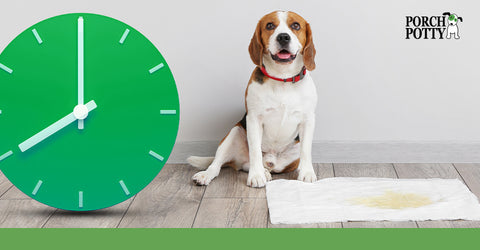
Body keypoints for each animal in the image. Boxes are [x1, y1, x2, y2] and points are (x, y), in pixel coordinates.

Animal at [188, 11, 318, 188]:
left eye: (296, 25)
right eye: (270, 25)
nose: (283, 37)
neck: (282, 78)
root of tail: (270, 162)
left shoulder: (308, 120)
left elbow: (306, 149)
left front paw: (307, 173)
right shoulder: (254, 119)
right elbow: (255, 151)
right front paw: (256, 176)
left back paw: (266, 171)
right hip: (234, 132)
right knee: (219, 164)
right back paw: (208, 175)